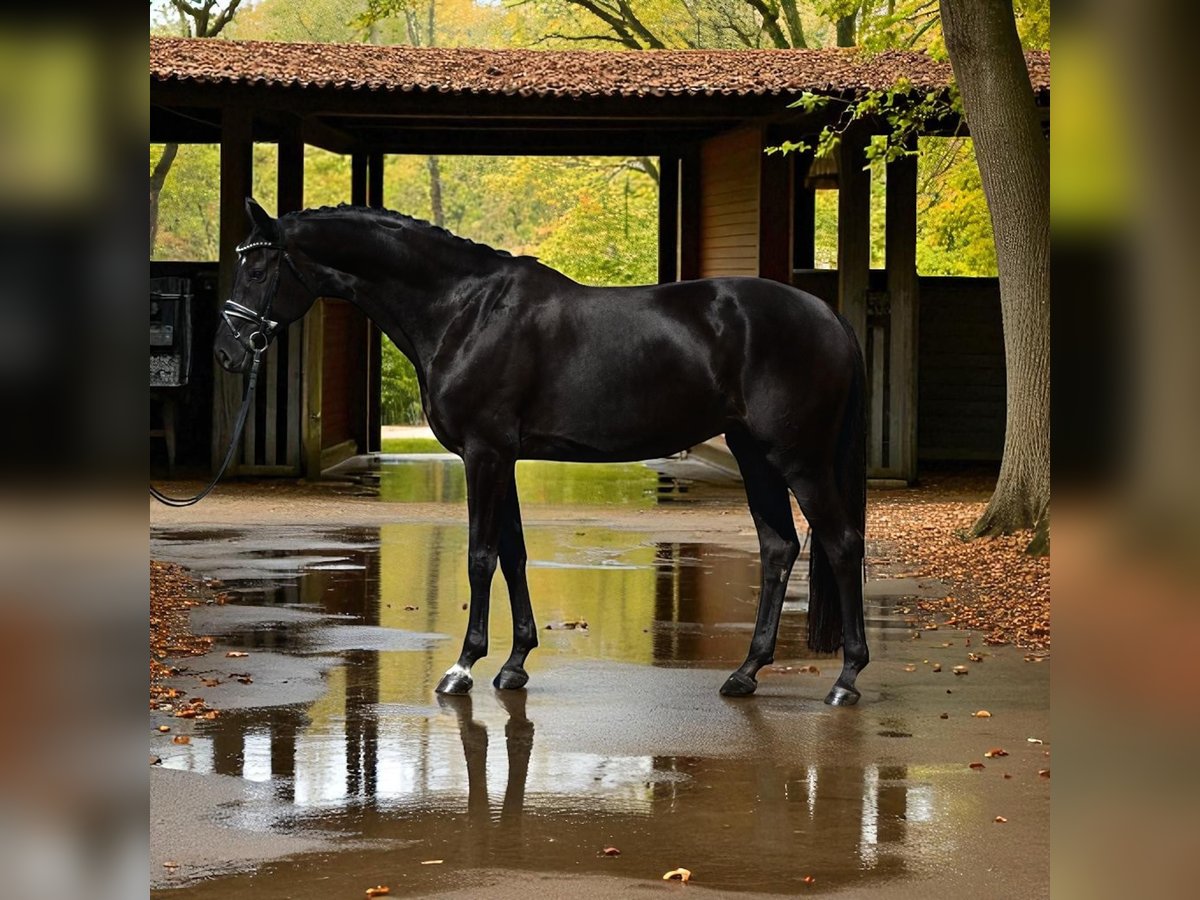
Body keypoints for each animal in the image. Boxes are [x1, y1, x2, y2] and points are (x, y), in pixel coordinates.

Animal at [216, 198, 868, 706]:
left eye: (258, 268)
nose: (228, 353)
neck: (464, 310)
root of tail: (828, 315)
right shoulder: (500, 457)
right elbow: (513, 554)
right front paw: (514, 664)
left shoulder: (483, 454)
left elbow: (480, 557)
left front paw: (462, 668)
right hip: (754, 454)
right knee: (779, 548)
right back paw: (745, 673)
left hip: (799, 459)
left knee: (840, 544)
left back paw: (846, 679)